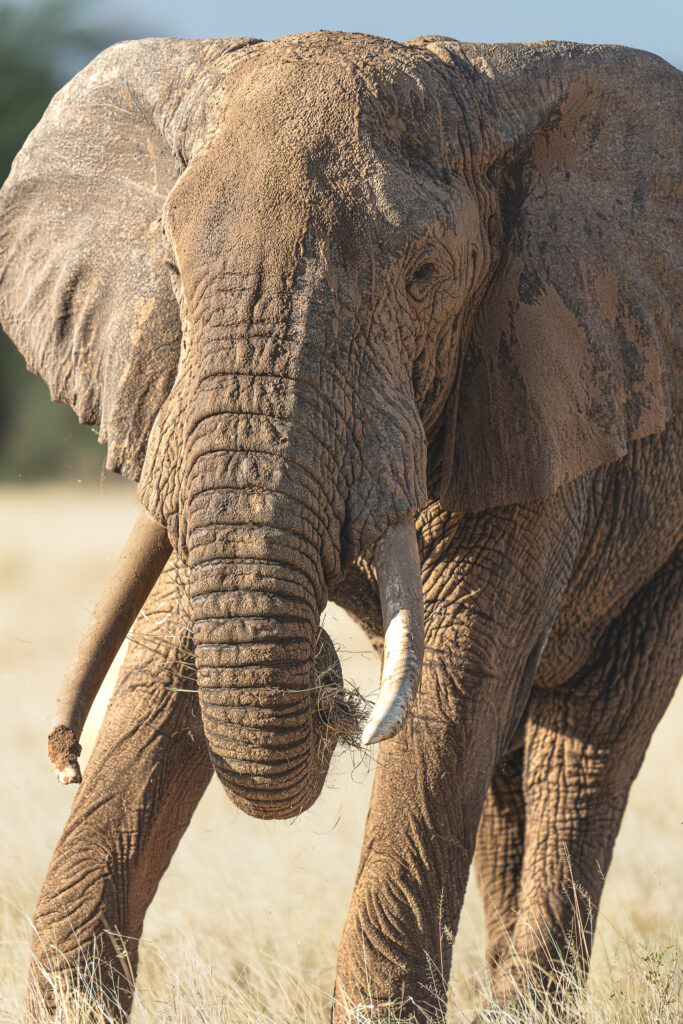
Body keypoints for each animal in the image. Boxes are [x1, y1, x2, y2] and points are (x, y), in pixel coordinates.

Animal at [0, 28, 681, 1022]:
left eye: (423, 278)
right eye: (171, 272)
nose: (331, 684)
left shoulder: (539, 382)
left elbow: (452, 679)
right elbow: (169, 645)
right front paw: (70, 1002)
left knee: (579, 754)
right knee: (511, 774)